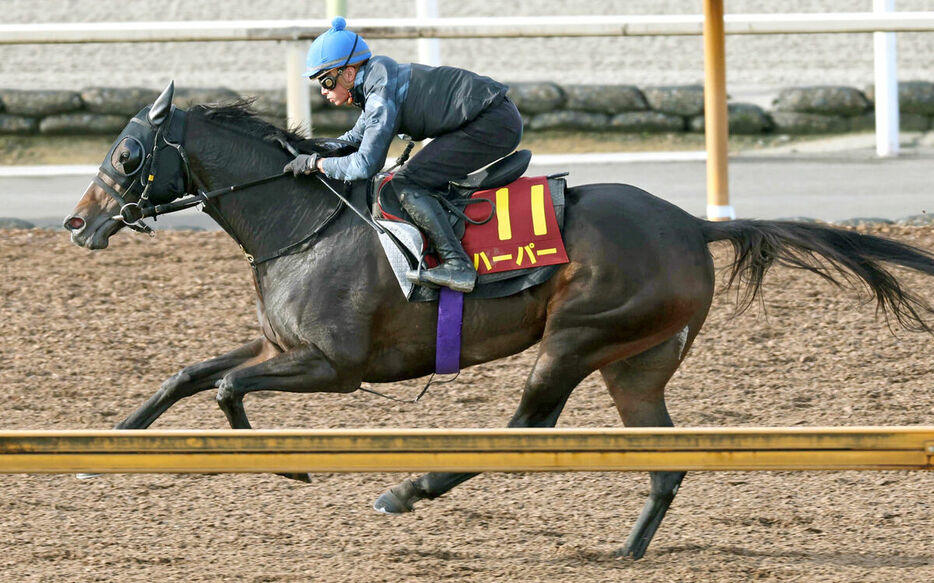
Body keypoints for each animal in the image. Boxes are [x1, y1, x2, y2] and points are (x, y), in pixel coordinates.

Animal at [64, 83, 934, 560]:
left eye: (129, 153)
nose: (78, 223)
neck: (305, 219)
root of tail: (694, 224)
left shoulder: (334, 367)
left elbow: (227, 391)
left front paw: (287, 467)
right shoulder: (283, 341)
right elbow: (189, 374)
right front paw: (109, 441)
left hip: (578, 337)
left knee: (527, 425)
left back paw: (408, 490)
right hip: (636, 360)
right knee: (664, 459)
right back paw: (626, 549)